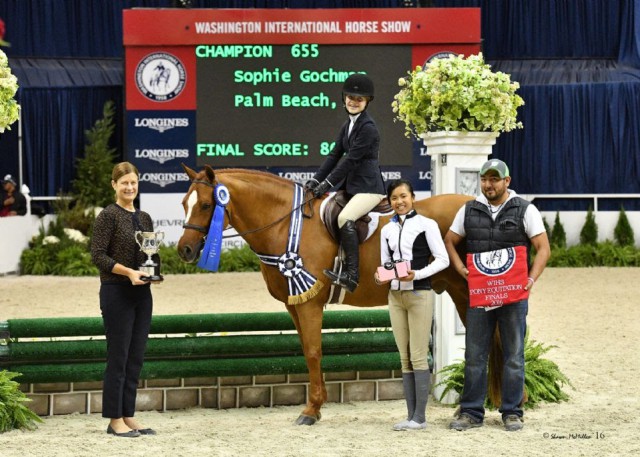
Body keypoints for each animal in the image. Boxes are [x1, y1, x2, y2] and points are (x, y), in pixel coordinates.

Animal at [176, 165, 504, 424]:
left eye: (205, 205)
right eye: (183, 203)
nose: (185, 250)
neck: (285, 225)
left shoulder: (309, 302)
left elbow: (313, 352)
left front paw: (310, 411)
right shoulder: (294, 304)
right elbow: (307, 351)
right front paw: (316, 406)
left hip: (466, 290)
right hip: (458, 291)